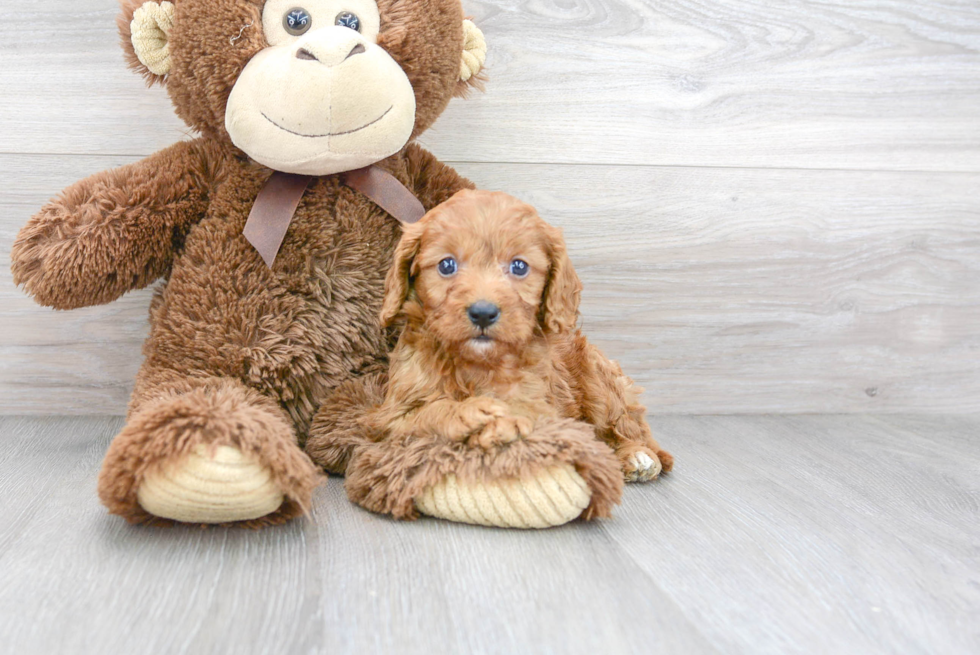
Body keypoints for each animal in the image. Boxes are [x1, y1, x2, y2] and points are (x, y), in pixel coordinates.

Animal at [368, 190, 672, 482]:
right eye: (446, 265)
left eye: (519, 267)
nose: (483, 313)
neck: (477, 363)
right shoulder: (390, 419)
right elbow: (429, 413)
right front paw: (475, 413)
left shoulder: (541, 403)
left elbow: (527, 413)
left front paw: (504, 423)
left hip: (599, 380)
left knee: (624, 426)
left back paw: (637, 456)